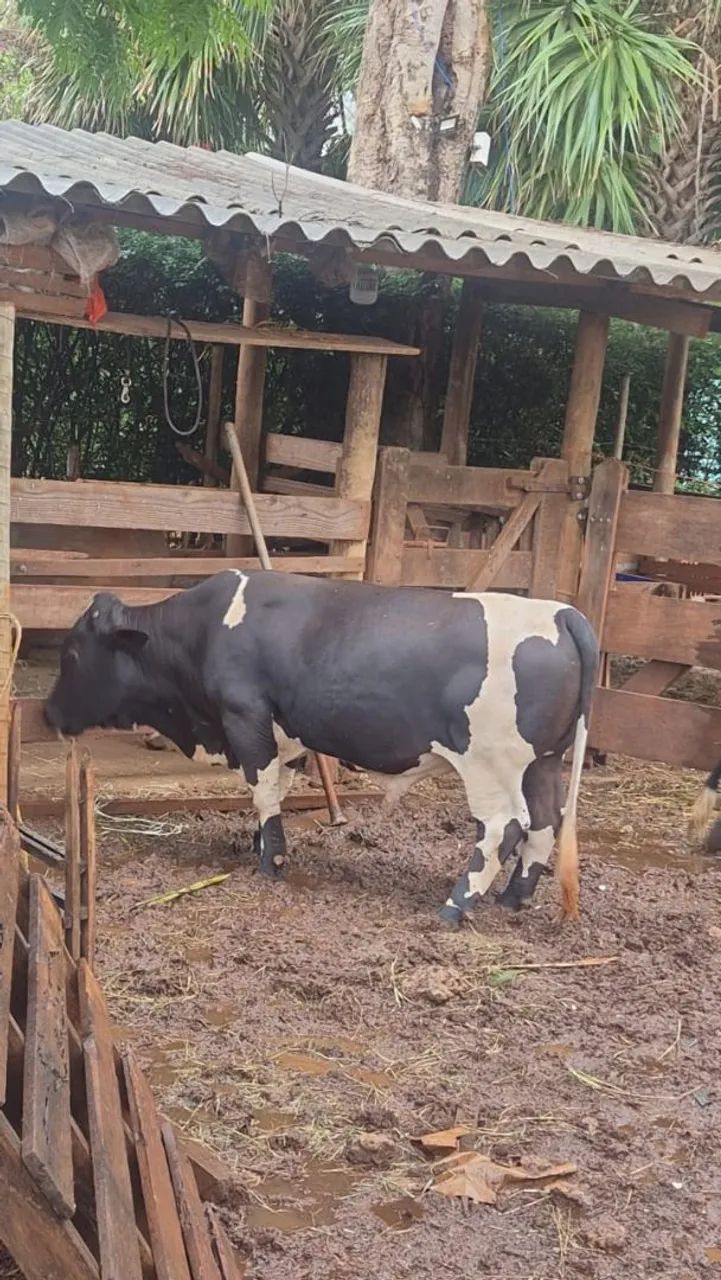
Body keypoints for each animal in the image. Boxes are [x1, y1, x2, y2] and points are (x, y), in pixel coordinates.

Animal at [43, 571, 599, 925]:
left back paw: (455, 907)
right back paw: (512, 901)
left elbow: (263, 790)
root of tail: (562, 613)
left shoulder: (246, 717)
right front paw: (260, 846)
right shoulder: (285, 734)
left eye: (71, 655)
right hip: (543, 763)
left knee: (504, 828)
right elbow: (278, 788)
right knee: (544, 824)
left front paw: (271, 862)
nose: (48, 713)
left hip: (490, 764)